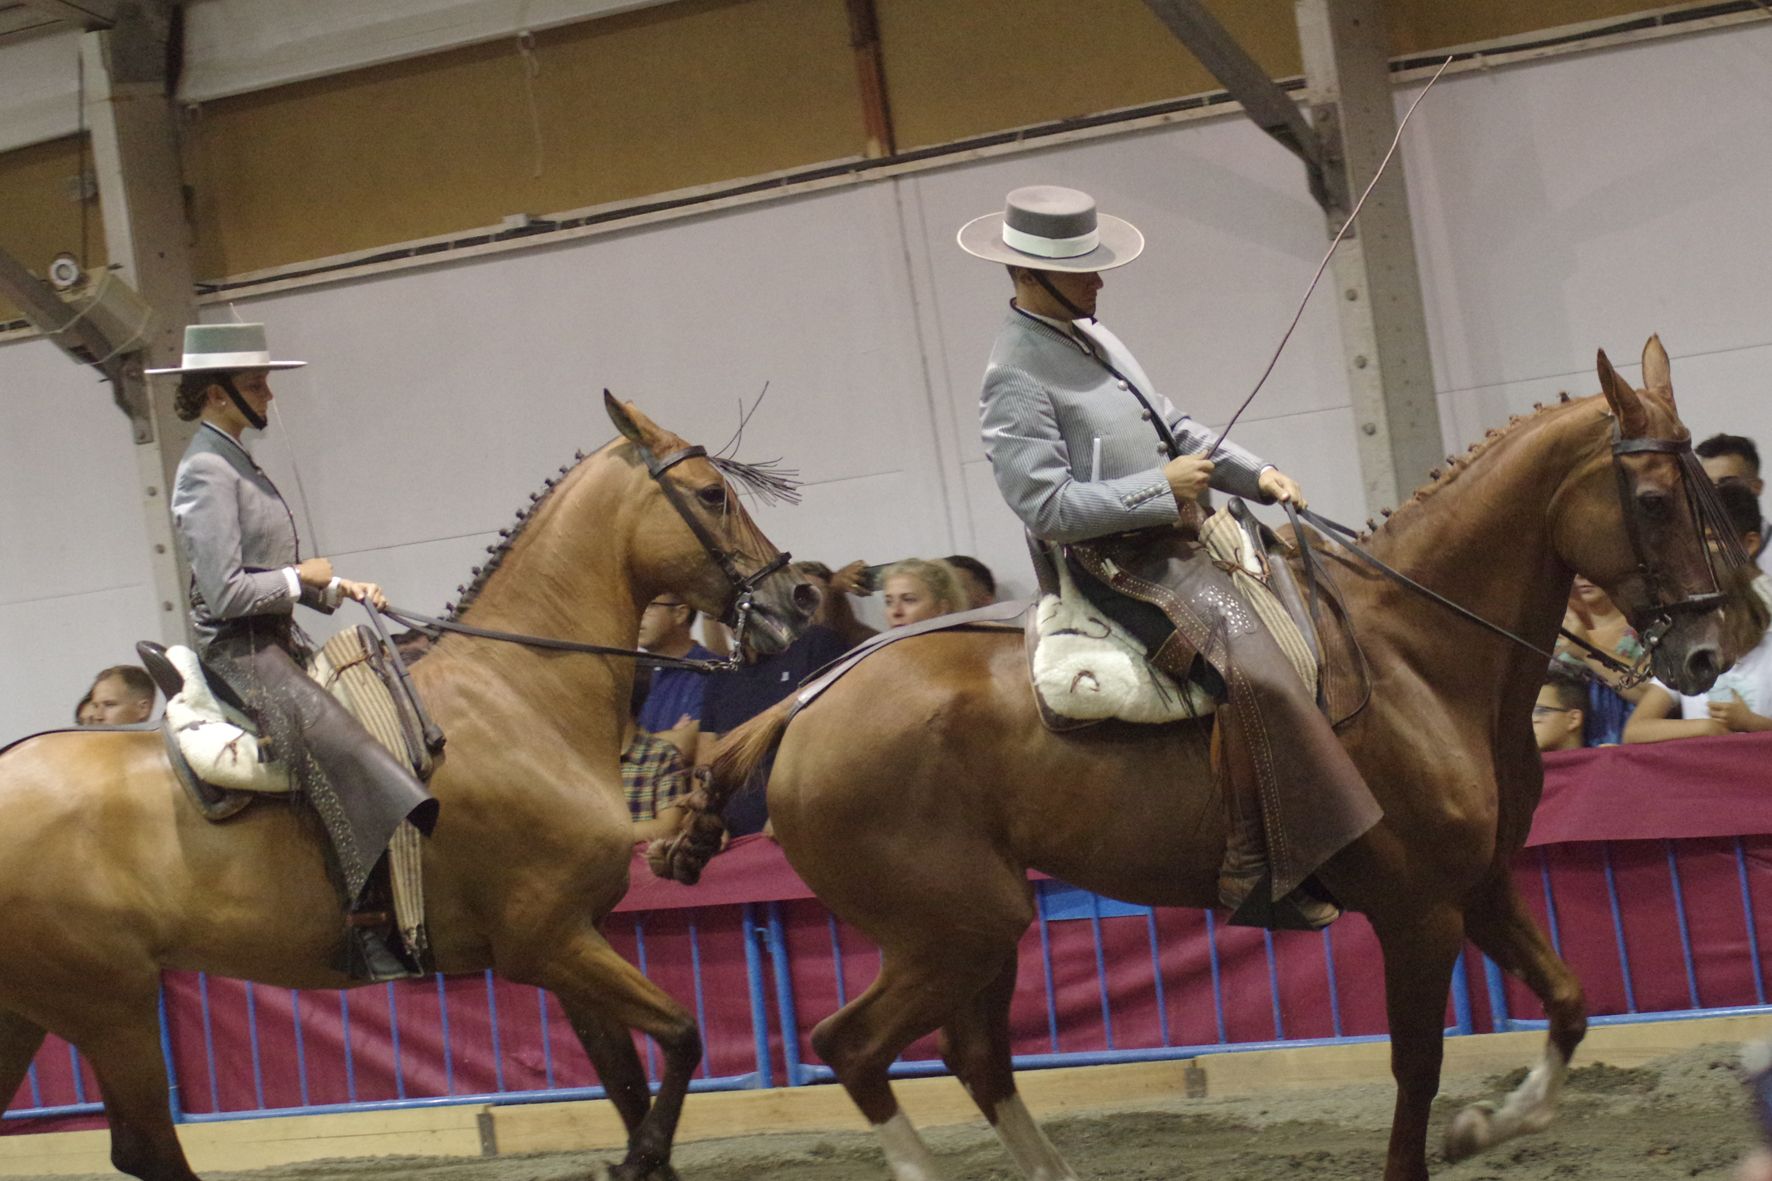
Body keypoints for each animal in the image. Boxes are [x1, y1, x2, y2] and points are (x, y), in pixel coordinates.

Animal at [0, 397, 815, 1177]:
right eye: (711, 494)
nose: (799, 597)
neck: (518, 694)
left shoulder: (574, 942)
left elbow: (627, 1080)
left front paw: (641, 1153)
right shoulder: (547, 941)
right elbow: (682, 1037)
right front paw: (639, 1154)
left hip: (35, 1013)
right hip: (113, 1010)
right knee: (146, 1152)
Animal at [666, 340, 1729, 1177]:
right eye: (1652, 500)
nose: (1707, 655)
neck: (1417, 651)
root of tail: (807, 702)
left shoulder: (1482, 885)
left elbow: (1570, 1004)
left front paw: (1489, 1126)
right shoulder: (1420, 912)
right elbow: (1418, 1070)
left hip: (978, 930)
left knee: (975, 1056)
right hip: (950, 931)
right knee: (852, 1047)